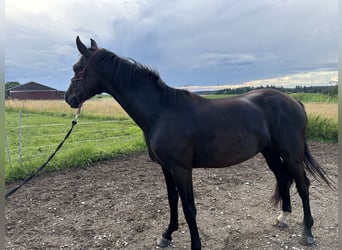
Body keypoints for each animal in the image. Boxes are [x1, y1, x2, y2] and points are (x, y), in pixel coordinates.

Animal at [65, 37, 334, 250]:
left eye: (77, 67)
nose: (69, 98)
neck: (162, 112)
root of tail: (295, 101)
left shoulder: (182, 169)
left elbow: (189, 208)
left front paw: (195, 244)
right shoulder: (166, 168)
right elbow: (172, 201)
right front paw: (166, 235)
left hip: (291, 153)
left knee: (303, 185)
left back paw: (307, 232)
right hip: (269, 152)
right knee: (284, 178)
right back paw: (283, 218)